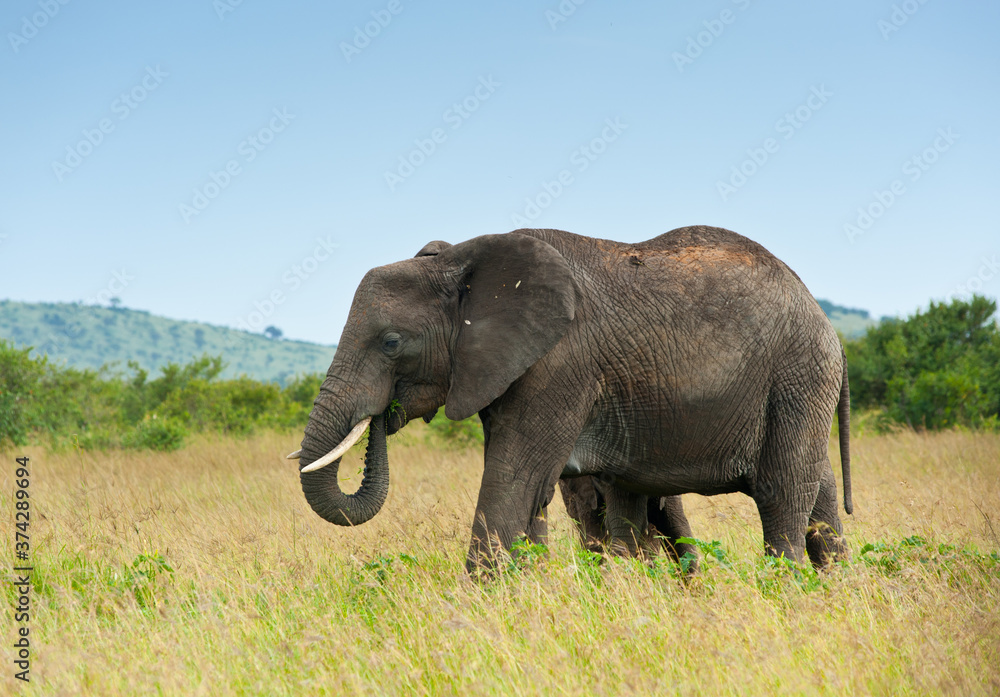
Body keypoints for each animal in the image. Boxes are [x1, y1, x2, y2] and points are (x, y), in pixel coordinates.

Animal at [290, 225, 853, 573]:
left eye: (390, 343)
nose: (383, 417)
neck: (464, 259)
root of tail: (824, 318)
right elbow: (529, 489)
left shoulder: (558, 364)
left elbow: (514, 478)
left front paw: (476, 610)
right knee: (817, 488)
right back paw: (837, 589)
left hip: (797, 375)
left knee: (781, 492)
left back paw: (788, 590)